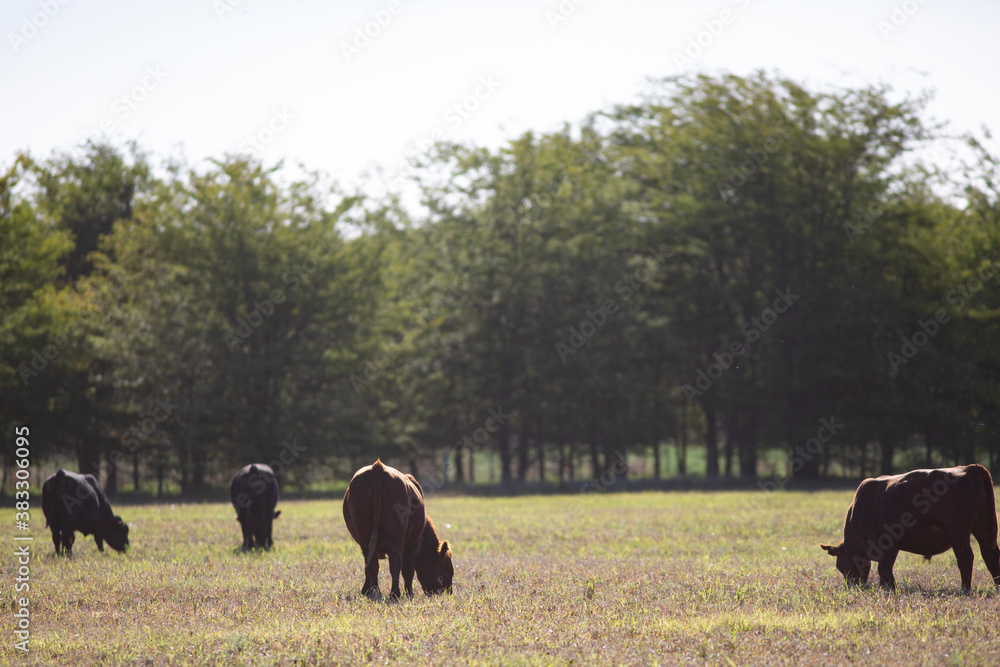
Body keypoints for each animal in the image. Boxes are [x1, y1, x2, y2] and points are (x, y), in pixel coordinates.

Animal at [344, 460, 454, 600]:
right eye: (447, 571)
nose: (448, 592)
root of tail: (377, 467)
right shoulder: (414, 543)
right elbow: (408, 569)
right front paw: (409, 592)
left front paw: (365, 590)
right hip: (396, 537)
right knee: (395, 564)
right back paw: (395, 593)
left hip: (364, 535)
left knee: (371, 564)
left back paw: (375, 592)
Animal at [820, 464, 1000, 588]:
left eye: (841, 566)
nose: (852, 586)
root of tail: (967, 469)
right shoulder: (892, 546)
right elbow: (886, 568)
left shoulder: (879, 542)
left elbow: (883, 567)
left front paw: (890, 588)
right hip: (984, 528)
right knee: (990, 555)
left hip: (959, 533)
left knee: (966, 558)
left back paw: (965, 588)